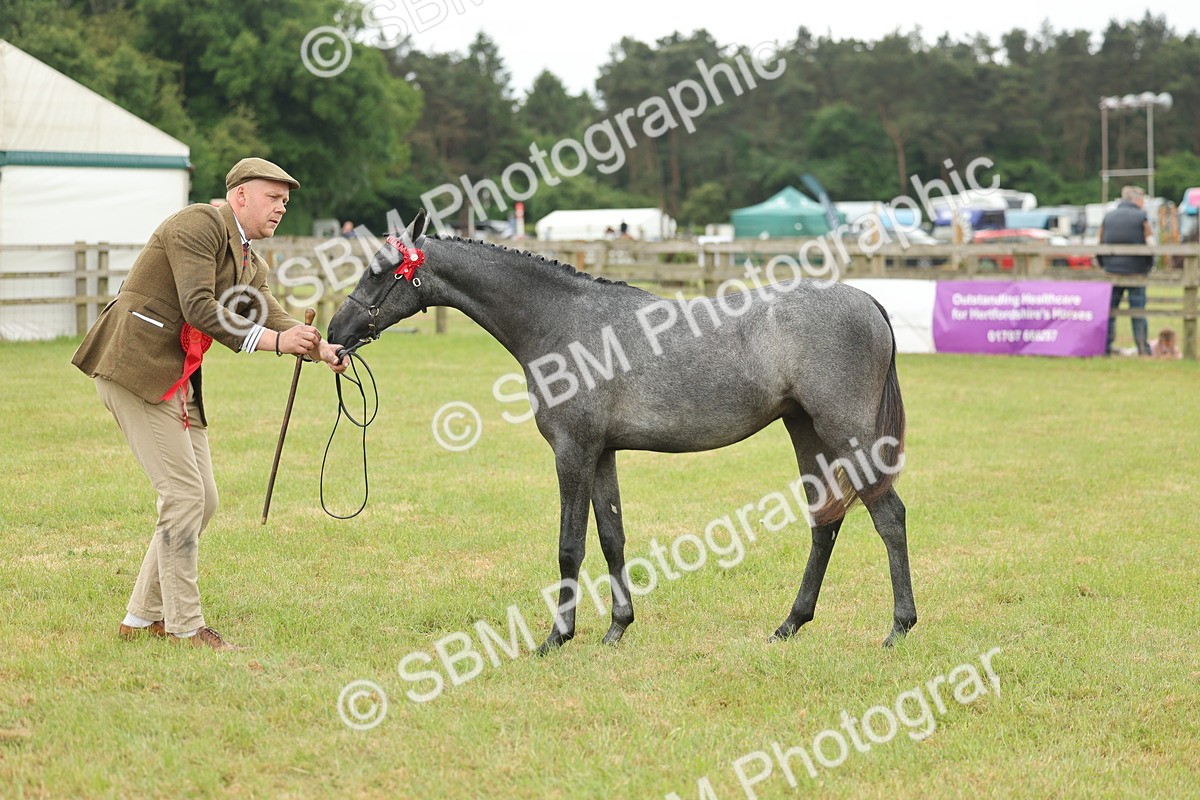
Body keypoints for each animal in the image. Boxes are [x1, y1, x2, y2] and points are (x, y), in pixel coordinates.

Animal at [326, 209, 916, 654]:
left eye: (379, 271)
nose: (335, 332)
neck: (562, 321)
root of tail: (867, 300)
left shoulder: (573, 450)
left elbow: (570, 545)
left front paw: (557, 637)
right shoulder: (603, 453)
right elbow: (612, 536)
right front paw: (617, 627)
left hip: (847, 435)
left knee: (888, 516)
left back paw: (899, 628)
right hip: (806, 432)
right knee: (825, 521)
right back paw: (790, 624)